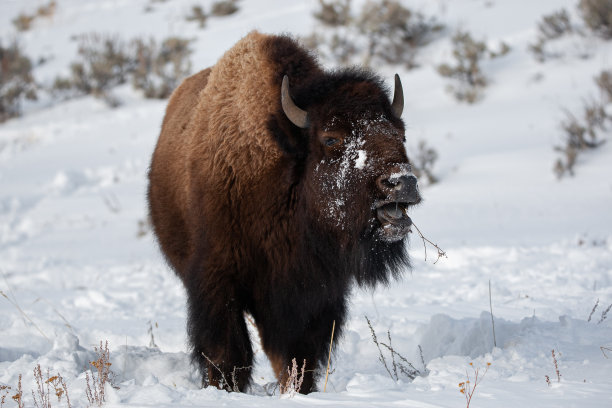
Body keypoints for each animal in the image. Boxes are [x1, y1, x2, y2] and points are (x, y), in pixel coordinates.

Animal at [149, 32, 420, 396]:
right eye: (331, 138)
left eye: (400, 134)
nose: (402, 182)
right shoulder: (217, 282)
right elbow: (227, 352)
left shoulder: (315, 295)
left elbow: (297, 355)